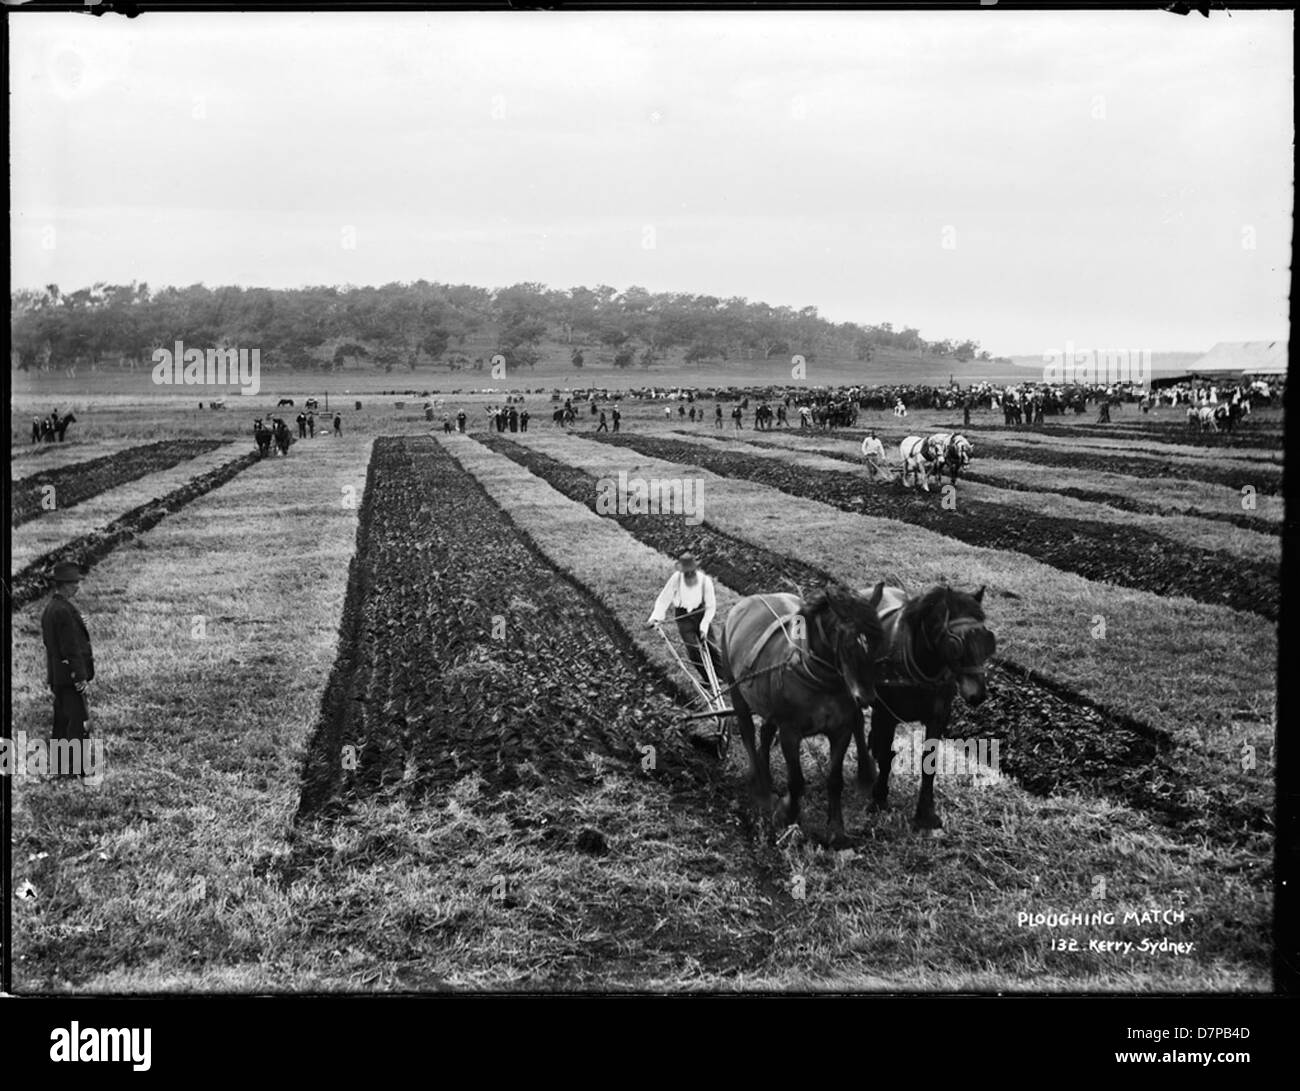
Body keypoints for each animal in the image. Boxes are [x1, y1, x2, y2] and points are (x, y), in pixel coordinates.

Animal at [717, 579, 889, 842]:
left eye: (879, 641)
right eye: (849, 644)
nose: (867, 697)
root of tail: (745, 603)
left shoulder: (841, 730)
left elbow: (834, 780)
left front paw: (836, 829)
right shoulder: (790, 733)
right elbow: (796, 781)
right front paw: (786, 813)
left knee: (766, 730)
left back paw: (765, 773)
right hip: (735, 689)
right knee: (747, 730)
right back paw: (760, 785)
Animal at [852, 587, 993, 837]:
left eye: (987, 640)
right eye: (956, 645)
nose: (977, 694)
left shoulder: (938, 718)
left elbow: (930, 763)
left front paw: (926, 813)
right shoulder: (887, 715)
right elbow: (887, 758)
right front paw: (879, 798)